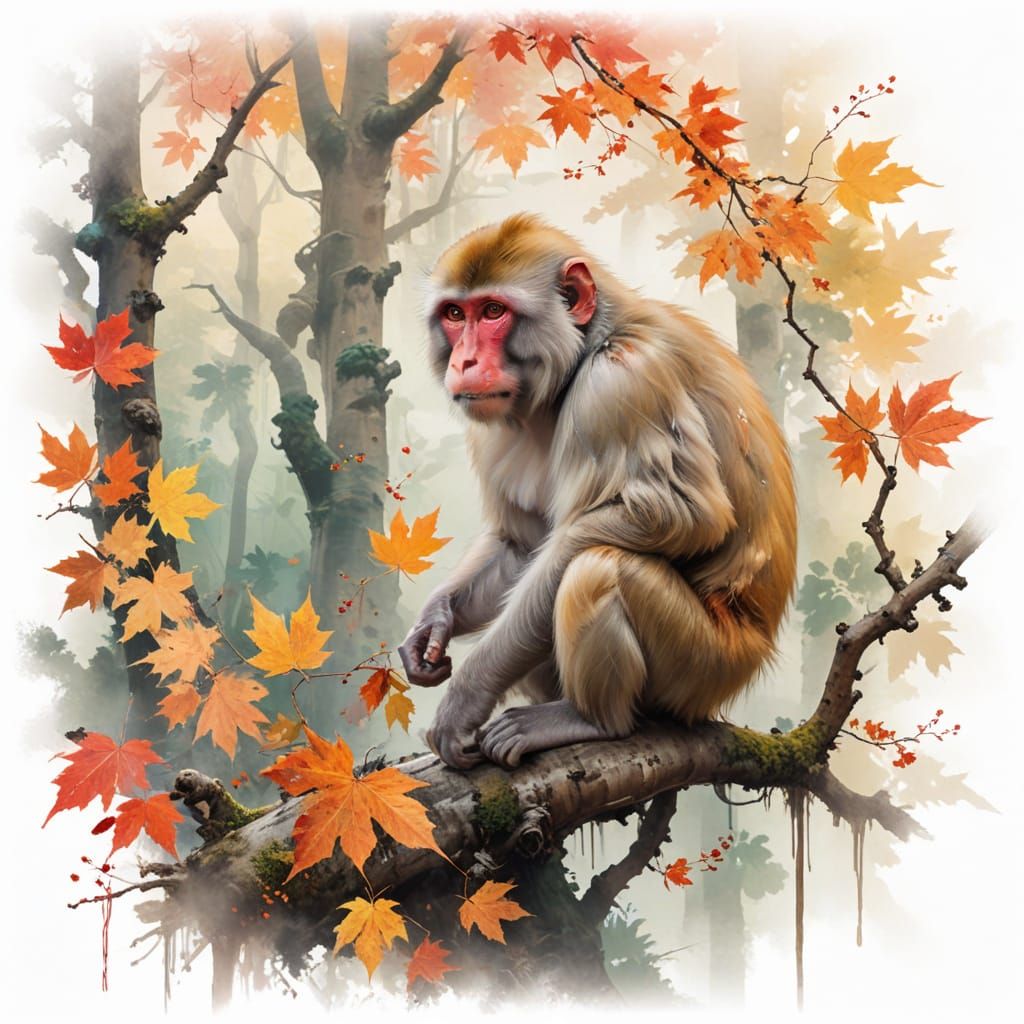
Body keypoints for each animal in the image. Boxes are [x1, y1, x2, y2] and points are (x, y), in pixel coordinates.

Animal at [398, 213, 796, 771]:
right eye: (455, 314)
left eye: (494, 311)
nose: (465, 363)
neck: (585, 349)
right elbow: (520, 545)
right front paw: (436, 621)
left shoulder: (621, 384)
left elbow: (676, 518)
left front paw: (467, 697)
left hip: (704, 666)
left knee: (598, 566)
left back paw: (592, 720)